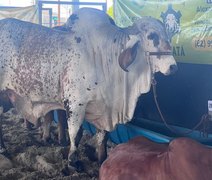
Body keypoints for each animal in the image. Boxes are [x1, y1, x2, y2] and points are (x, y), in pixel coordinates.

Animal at [0, 8, 176, 169]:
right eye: (152, 36)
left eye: (168, 34)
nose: (173, 66)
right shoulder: (75, 104)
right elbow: (75, 133)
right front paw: (73, 161)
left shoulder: (105, 109)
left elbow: (102, 137)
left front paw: (102, 160)